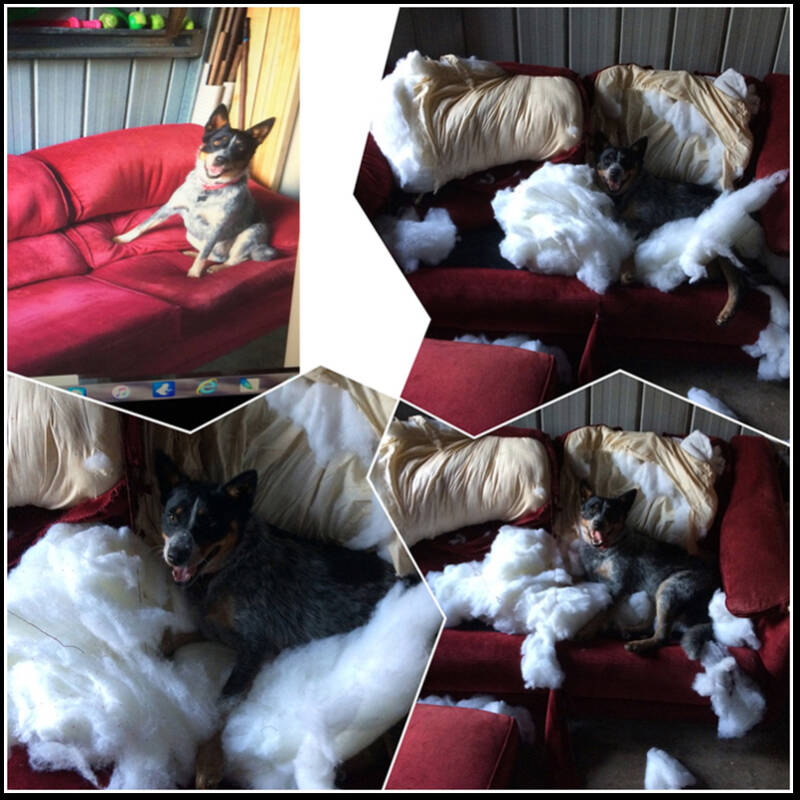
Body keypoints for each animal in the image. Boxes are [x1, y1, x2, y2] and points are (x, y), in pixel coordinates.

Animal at [113, 104, 277, 278]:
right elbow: (143, 225)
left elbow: (204, 254)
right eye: (217, 141)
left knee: (233, 260)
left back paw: (216, 268)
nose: (221, 159)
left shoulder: (216, 228)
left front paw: (194, 274)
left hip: (250, 233)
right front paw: (123, 239)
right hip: (190, 235)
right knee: (215, 256)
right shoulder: (169, 207)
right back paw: (192, 253)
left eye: (240, 149)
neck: (207, 188)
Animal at [155, 451, 400, 786]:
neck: (230, 567)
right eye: (172, 516)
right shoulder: (219, 630)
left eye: (211, 522)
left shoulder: (255, 644)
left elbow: (222, 706)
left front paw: (208, 762)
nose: (175, 554)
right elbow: (176, 636)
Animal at [575, 482, 718, 660]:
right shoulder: (595, 578)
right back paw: (624, 631)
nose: (598, 523)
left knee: (662, 636)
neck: (604, 551)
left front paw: (585, 632)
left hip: (668, 589)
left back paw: (638, 645)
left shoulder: (617, 587)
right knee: (653, 627)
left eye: (610, 513)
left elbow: (600, 613)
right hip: (655, 593)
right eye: (592, 508)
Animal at [592, 132, 745, 325]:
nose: (614, 172)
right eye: (607, 160)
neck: (628, 193)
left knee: (736, 283)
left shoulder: (648, 222)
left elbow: (632, 248)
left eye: (626, 162)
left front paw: (627, 273)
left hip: (721, 245)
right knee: (716, 274)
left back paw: (727, 311)